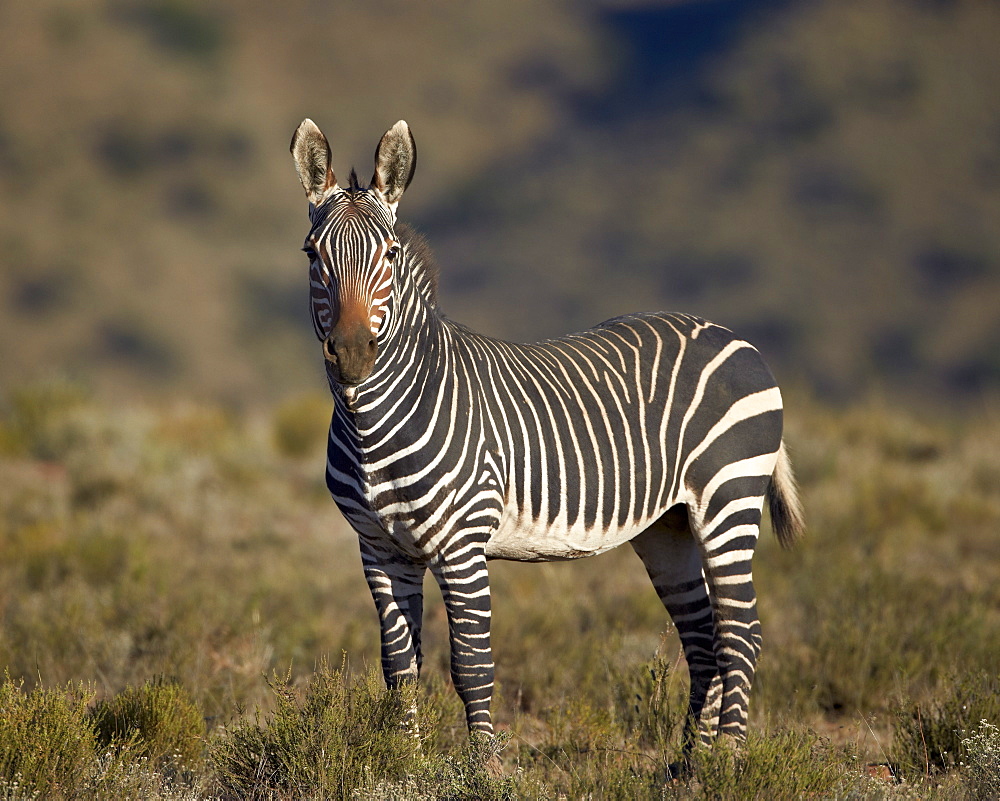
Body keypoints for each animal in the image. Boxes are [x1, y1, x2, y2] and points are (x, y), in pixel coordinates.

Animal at [290, 119, 804, 756]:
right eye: (313, 254)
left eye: (389, 254)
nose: (353, 353)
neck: (375, 434)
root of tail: (734, 336)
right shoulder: (380, 549)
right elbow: (399, 668)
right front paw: (407, 762)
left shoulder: (461, 545)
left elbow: (471, 666)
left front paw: (480, 766)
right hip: (669, 527)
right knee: (705, 639)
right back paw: (686, 764)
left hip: (727, 500)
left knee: (741, 634)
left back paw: (726, 762)